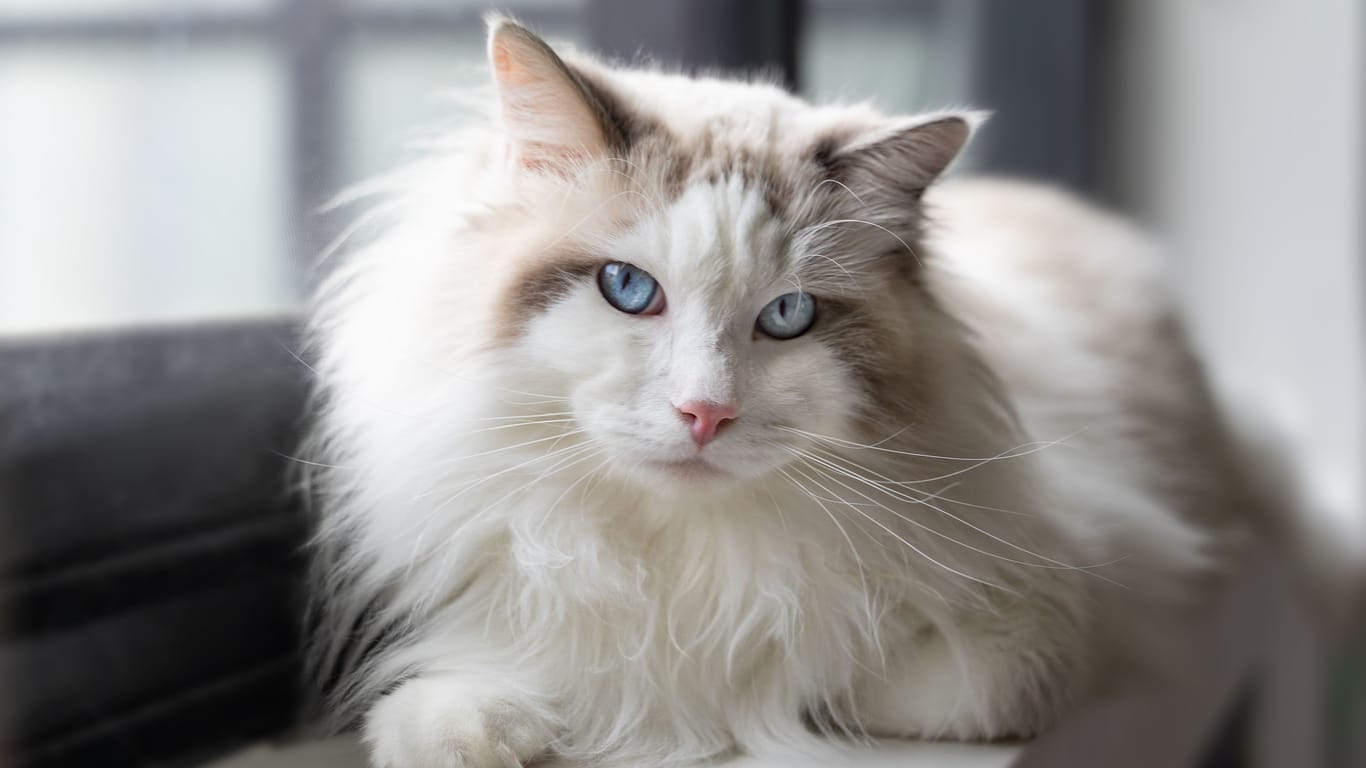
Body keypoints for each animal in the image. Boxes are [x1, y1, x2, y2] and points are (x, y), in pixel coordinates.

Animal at [304, 13, 1245, 765]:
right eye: (627, 288)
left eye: (789, 315)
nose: (704, 413)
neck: (686, 556)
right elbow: (467, 696)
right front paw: (493, 730)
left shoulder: (1055, 617)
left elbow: (848, 678)